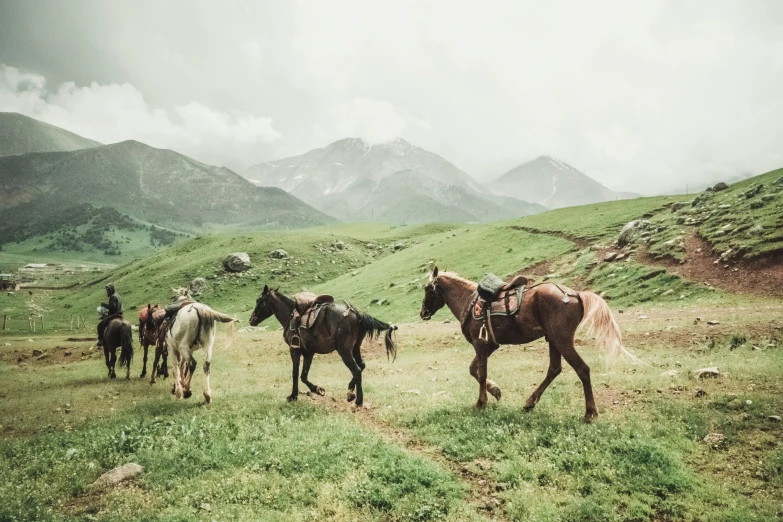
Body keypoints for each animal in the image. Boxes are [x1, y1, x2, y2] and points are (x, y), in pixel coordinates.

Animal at [250, 284, 398, 406]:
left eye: (259, 301)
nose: (251, 320)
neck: (291, 315)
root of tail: (355, 312)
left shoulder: (294, 350)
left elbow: (295, 373)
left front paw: (293, 396)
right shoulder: (308, 352)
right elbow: (303, 375)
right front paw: (317, 389)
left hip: (344, 351)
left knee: (356, 370)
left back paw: (358, 401)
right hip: (355, 348)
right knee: (361, 366)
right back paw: (350, 392)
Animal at [420, 266, 640, 420]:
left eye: (428, 289)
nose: (422, 313)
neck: (470, 300)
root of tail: (576, 294)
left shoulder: (480, 344)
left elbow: (480, 373)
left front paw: (481, 403)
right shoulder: (489, 346)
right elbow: (474, 370)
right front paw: (495, 391)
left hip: (562, 341)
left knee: (582, 369)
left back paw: (589, 413)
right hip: (553, 341)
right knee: (554, 369)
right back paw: (529, 403)